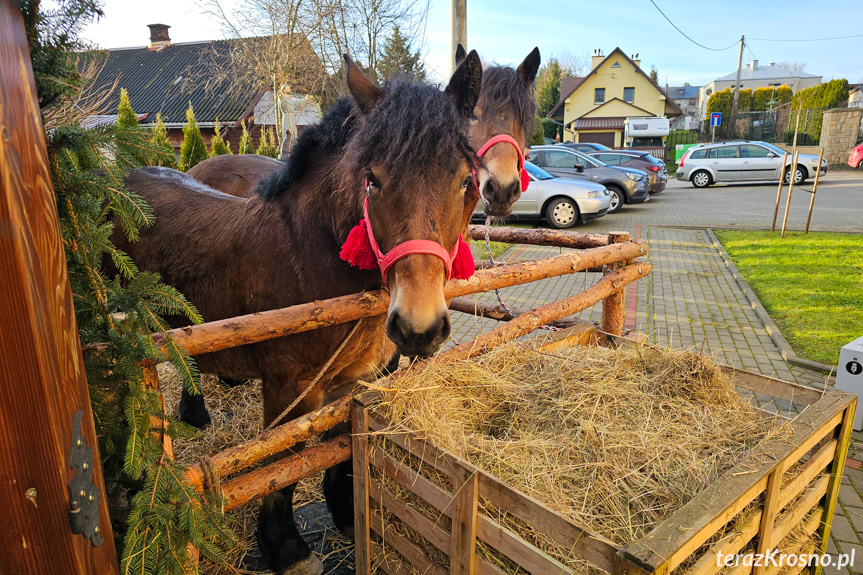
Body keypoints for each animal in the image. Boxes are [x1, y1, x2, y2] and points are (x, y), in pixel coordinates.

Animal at [113, 54, 486, 575]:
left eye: (466, 180)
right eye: (372, 179)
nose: (419, 327)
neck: (310, 256)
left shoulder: (353, 380)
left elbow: (342, 447)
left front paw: (347, 515)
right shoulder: (290, 386)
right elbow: (283, 465)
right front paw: (285, 549)